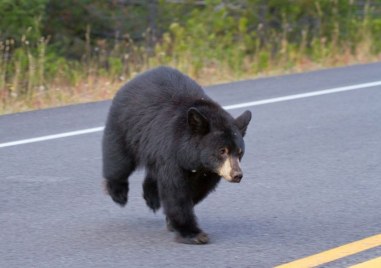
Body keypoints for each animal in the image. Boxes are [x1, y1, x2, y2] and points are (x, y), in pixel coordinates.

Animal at [101, 66, 251, 244]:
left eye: (240, 152)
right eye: (222, 150)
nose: (237, 175)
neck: (194, 159)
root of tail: (133, 80)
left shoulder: (208, 171)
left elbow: (197, 190)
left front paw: (172, 222)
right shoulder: (172, 154)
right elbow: (175, 191)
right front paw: (193, 233)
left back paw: (151, 197)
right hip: (125, 127)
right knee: (119, 162)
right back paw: (119, 193)